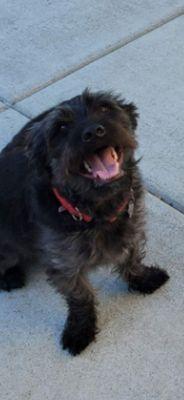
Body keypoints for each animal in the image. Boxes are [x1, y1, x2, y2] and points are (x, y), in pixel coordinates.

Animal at [0, 91, 170, 356]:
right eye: (61, 127)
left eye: (104, 107)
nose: (93, 131)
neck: (99, 211)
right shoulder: (64, 264)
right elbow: (80, 296)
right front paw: (80, 330)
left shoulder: (132, 226)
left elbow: (132, 259)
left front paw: (142, 279)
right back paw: (10, 275)